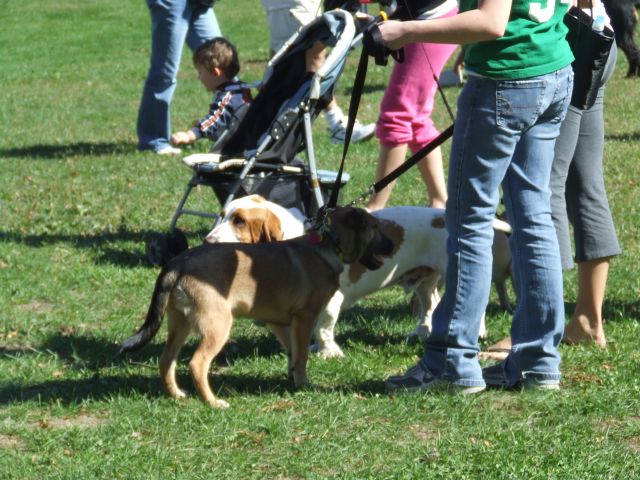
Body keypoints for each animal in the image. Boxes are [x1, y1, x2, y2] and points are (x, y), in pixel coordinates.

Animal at [119, 206, 392, 408]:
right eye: (375, 228)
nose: (392, 245)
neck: (328, 242)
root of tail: (178, 263)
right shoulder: (305, 317)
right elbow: (302, 354)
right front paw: (303, 384)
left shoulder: (281, 322)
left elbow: (293, 354)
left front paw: (292, 378)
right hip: (218, 325)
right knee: (197, 364)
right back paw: (213, 402)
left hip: (180, 323)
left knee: (166, 360)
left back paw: (176, 395)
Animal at [205, 196, 513, 359]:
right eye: (222, 215)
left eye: (239, 221)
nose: (207, 241)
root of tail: (442, 216)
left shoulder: (331, 302)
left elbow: (324, 327)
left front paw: (327, 352)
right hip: (425, 282)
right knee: (430, 305)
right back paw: (422, 330)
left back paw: (478, 330)